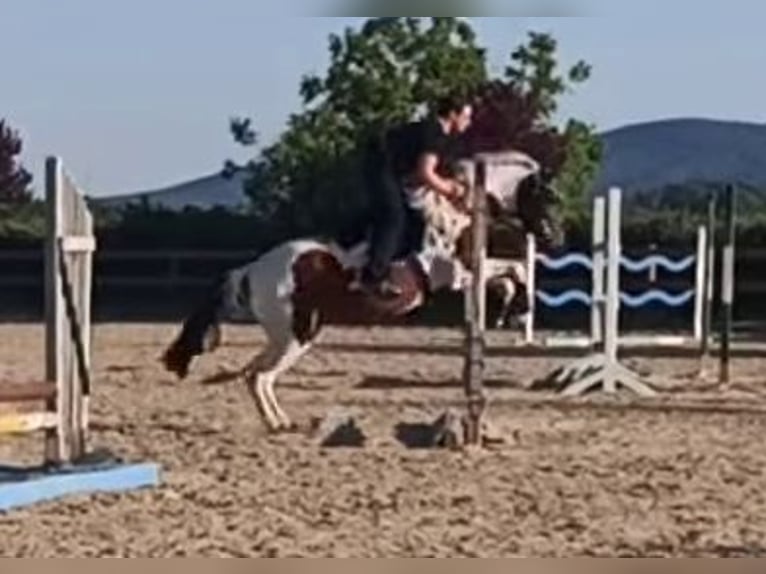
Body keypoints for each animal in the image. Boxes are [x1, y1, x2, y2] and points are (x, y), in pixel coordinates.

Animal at [160, 151, 564, 434]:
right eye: (546, 196)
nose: (553, 238)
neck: (459, 211)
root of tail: (252, 270)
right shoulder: (457, 274)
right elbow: (514, 269)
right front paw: (519, 307)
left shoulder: (467, 275)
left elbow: (510, 274)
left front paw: (509, 310)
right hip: (295, 335)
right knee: (261, 376)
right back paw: (279, 423)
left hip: (290, 334)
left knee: (252, 374)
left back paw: (281, 423)